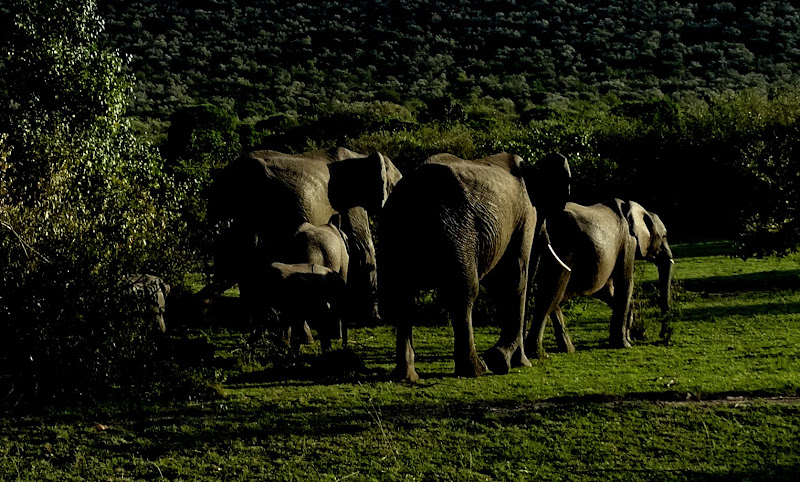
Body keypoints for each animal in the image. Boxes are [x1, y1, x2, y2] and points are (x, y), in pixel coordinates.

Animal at [380, 152, 572, 380]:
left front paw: (512, 361)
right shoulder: (525, 214)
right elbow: (515, 278)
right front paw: (506, 361)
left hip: (395, 233)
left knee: (401, 297)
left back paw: (406, 375)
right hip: (458, 232)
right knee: (463, 292)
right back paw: (477, 369)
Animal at [524, 198, 676, 360]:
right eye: (664, 236)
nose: (662, 336)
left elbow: (606, 290)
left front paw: (629, 333)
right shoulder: (628, 242)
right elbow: (625, 283)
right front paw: (624, 344)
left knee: (551, 295)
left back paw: (567, 349)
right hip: (564, 248)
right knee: (551, 293)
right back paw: (538, 353)